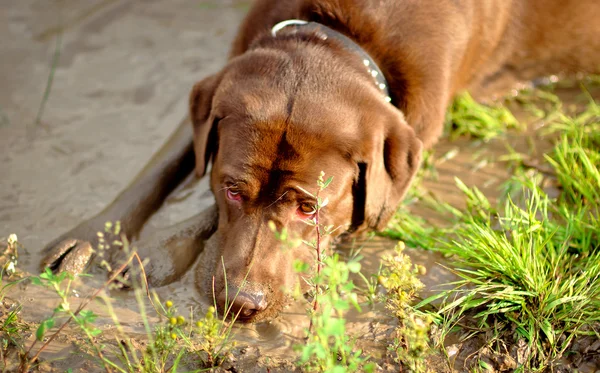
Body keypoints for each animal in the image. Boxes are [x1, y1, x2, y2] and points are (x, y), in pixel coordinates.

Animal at [43, 0, 600, 320]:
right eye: (231, 189)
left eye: (309, 208)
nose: (240, 306)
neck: (339, 33)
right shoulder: (220, 85)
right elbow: (166, 162)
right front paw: (93, 239)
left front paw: (156, 252)